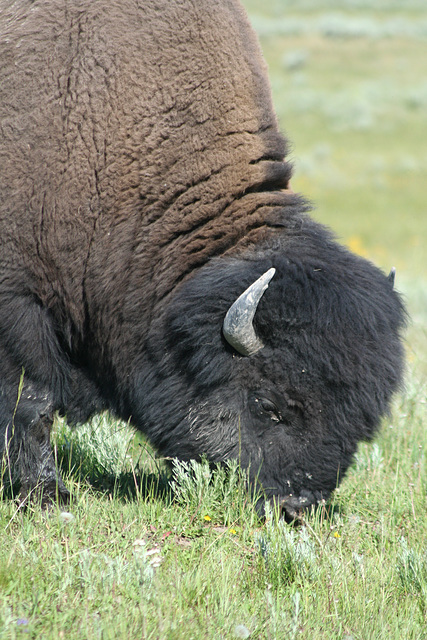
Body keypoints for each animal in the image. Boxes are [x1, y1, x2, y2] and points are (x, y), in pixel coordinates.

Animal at [0, 0, 404, 516]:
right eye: (268, 405)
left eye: (363, 422)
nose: (297, 505)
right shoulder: (17, 305)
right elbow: (33, 401)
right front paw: (46, 496)